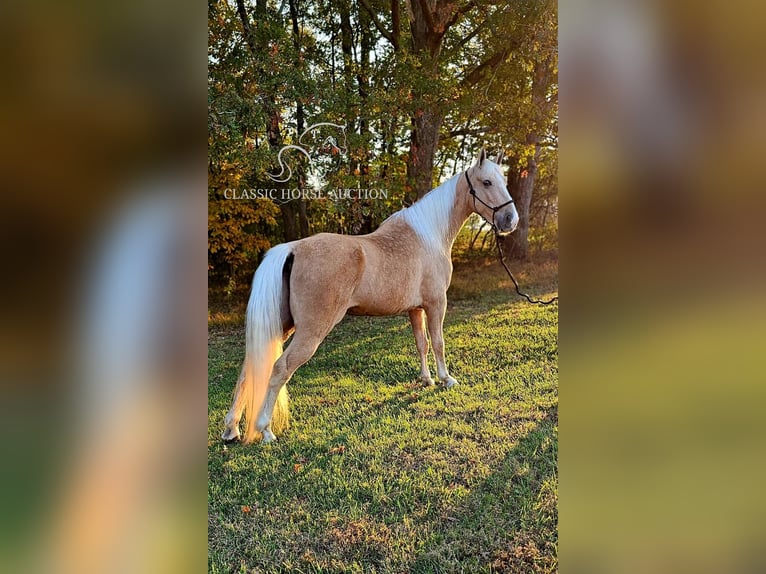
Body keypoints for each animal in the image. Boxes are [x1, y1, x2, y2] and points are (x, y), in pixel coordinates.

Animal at [225, 150, 520, 446]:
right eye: (486, 182)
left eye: (503, 180)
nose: (510, 220)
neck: (428, 235)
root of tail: (293, 248)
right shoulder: (436, 304)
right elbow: (438, 343)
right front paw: (446, 379)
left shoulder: (415, 309)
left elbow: (421, 344)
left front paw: (426, 379)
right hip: (310, 331)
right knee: (279, 369)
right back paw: (265, 429)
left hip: (284, 326)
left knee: (248, 368)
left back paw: (231, 428)